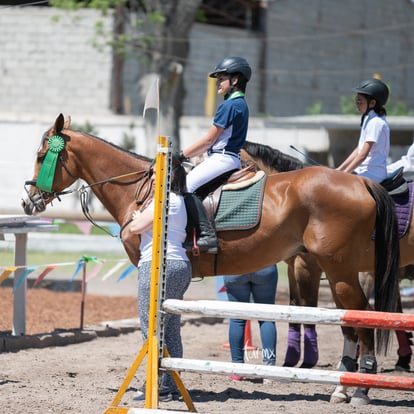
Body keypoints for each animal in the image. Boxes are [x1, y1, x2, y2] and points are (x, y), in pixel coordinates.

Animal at [22, 115, 402, 406]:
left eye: (42, 155)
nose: (28, 201)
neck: (141, 192)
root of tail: (361, 183)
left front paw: (158, 388)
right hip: (334, 270)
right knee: (350, 321)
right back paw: (344, 389)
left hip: (340, 270)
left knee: (363, 318)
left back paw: (359, 391)